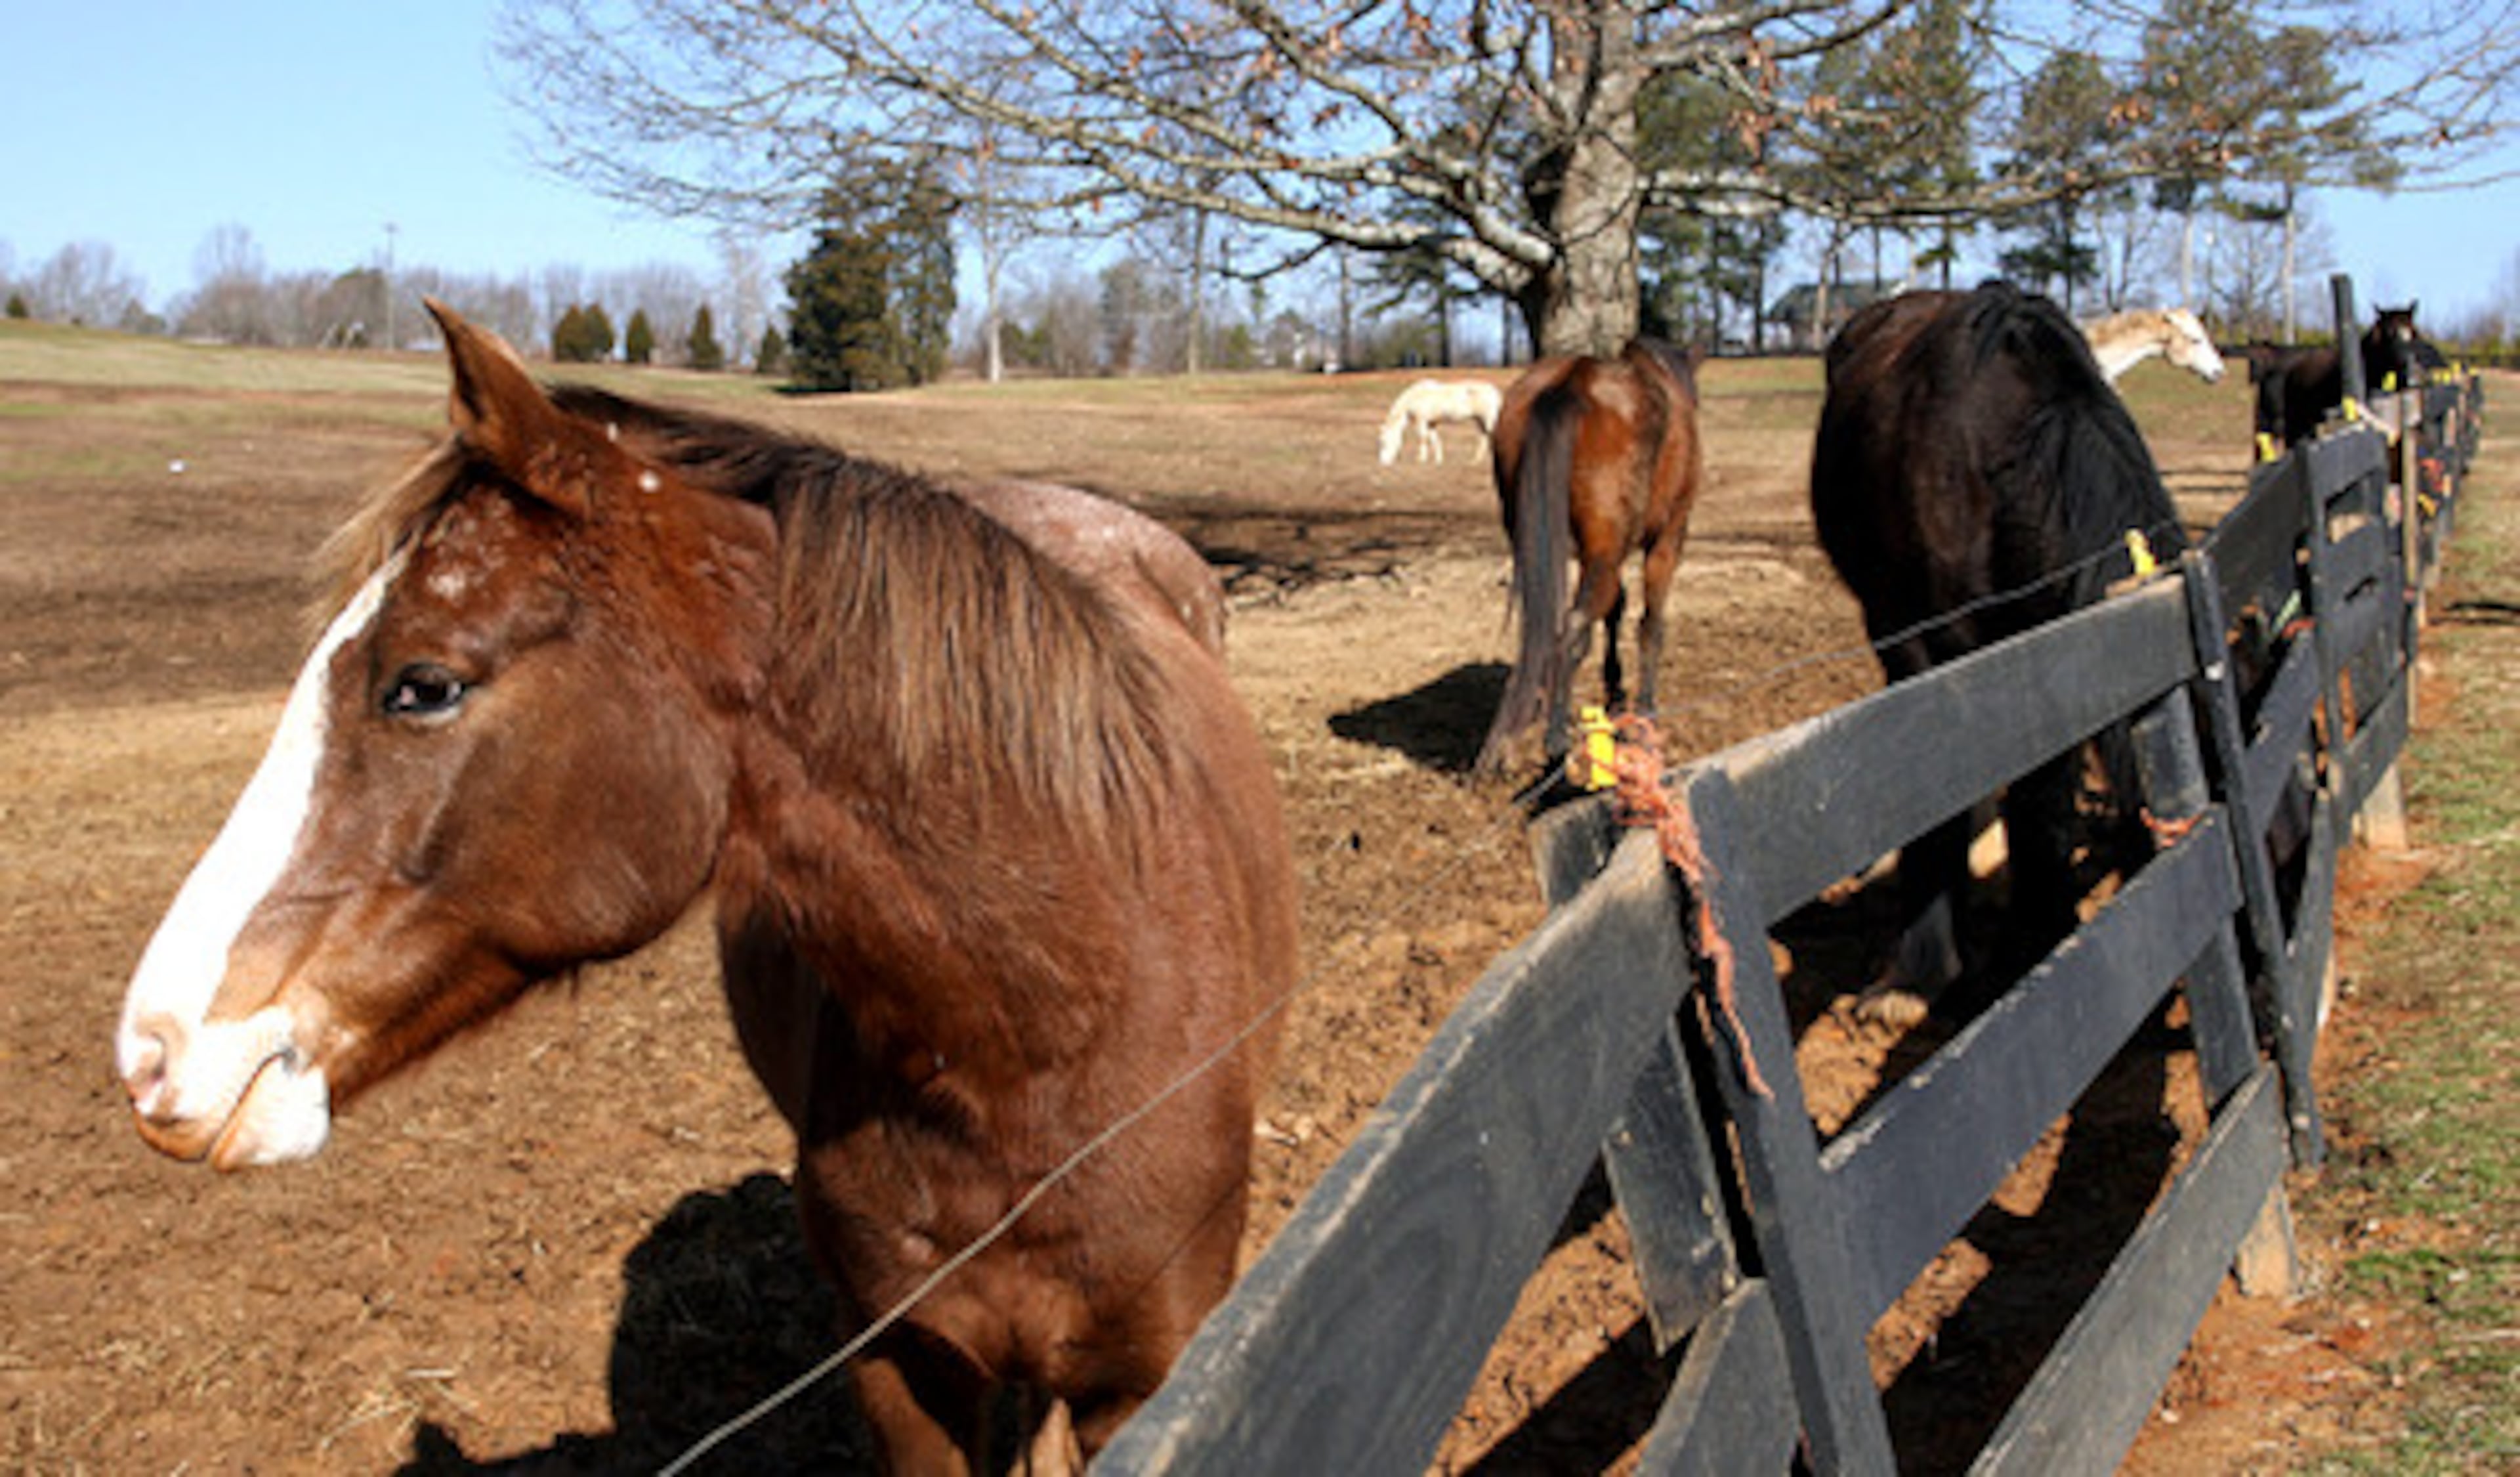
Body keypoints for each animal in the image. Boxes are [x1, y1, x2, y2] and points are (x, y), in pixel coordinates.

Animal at [1377, 377, 1504, 466]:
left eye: (1384, 442)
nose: (1383, 462)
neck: (1415, 397)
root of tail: (1495, 393)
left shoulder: (1421, 421)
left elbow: (1423, 439)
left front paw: (1421, 459)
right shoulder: (1431, 424)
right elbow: (1435, 440)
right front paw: (1439, 460)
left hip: (1489, 420)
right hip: (1481, 421)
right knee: (1484, 438)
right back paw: (1475, 461)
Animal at [1477, 338, 1703, 773]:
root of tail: (1573, 379)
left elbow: (1616, 610)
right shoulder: (1667, 539)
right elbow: (1651, 624)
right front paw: (1645, 711)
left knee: (1546, 631)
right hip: (1614, 551)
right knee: (1573, 629)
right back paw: (1555, 740)